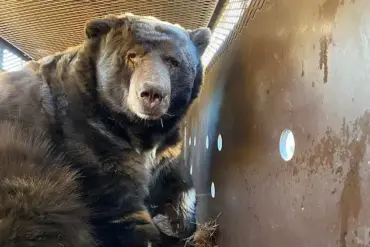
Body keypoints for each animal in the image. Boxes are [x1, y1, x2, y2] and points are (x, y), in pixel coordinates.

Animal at [0, 13, 210, 247]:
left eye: (174, 61)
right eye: (132, 55)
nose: (152, 93)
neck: (139, 129)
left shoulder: (167, 149)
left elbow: (178, 178)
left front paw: (176, 221)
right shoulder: (90, 139)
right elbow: (120, 208)